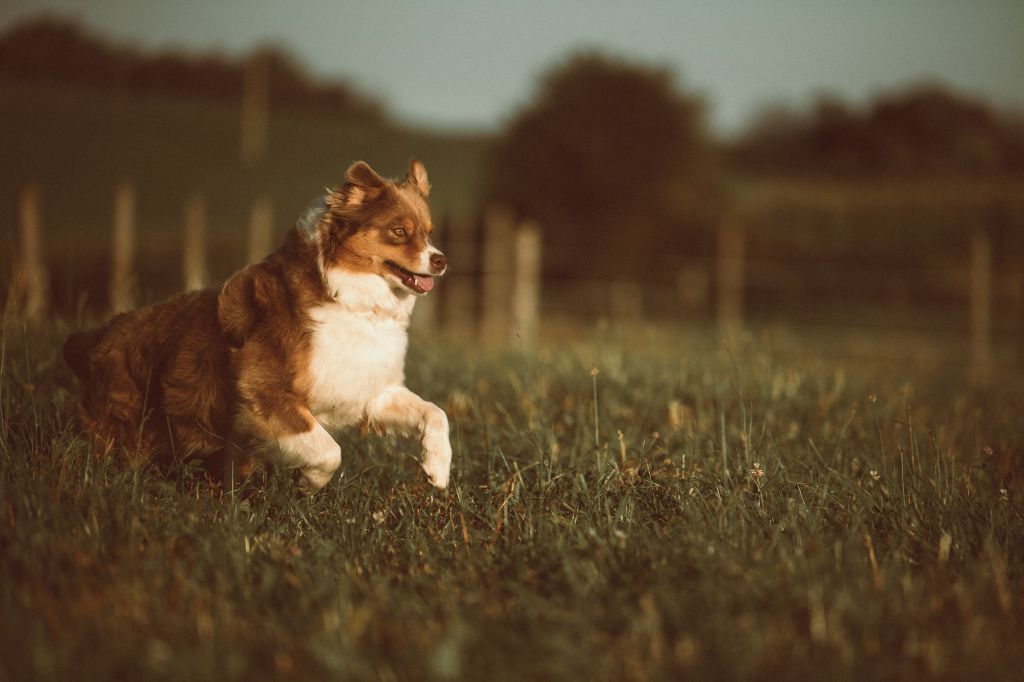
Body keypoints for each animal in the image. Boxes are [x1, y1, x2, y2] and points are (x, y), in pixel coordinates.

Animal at [64, 157, 448, 489]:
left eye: (429, 233)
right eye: (399, 231)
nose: (440, 260)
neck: (349, 297)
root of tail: (101, 334)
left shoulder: (371, 392)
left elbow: (435, 412)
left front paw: (438, 468)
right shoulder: (264, 391)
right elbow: (329, 451)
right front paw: (308, 483)